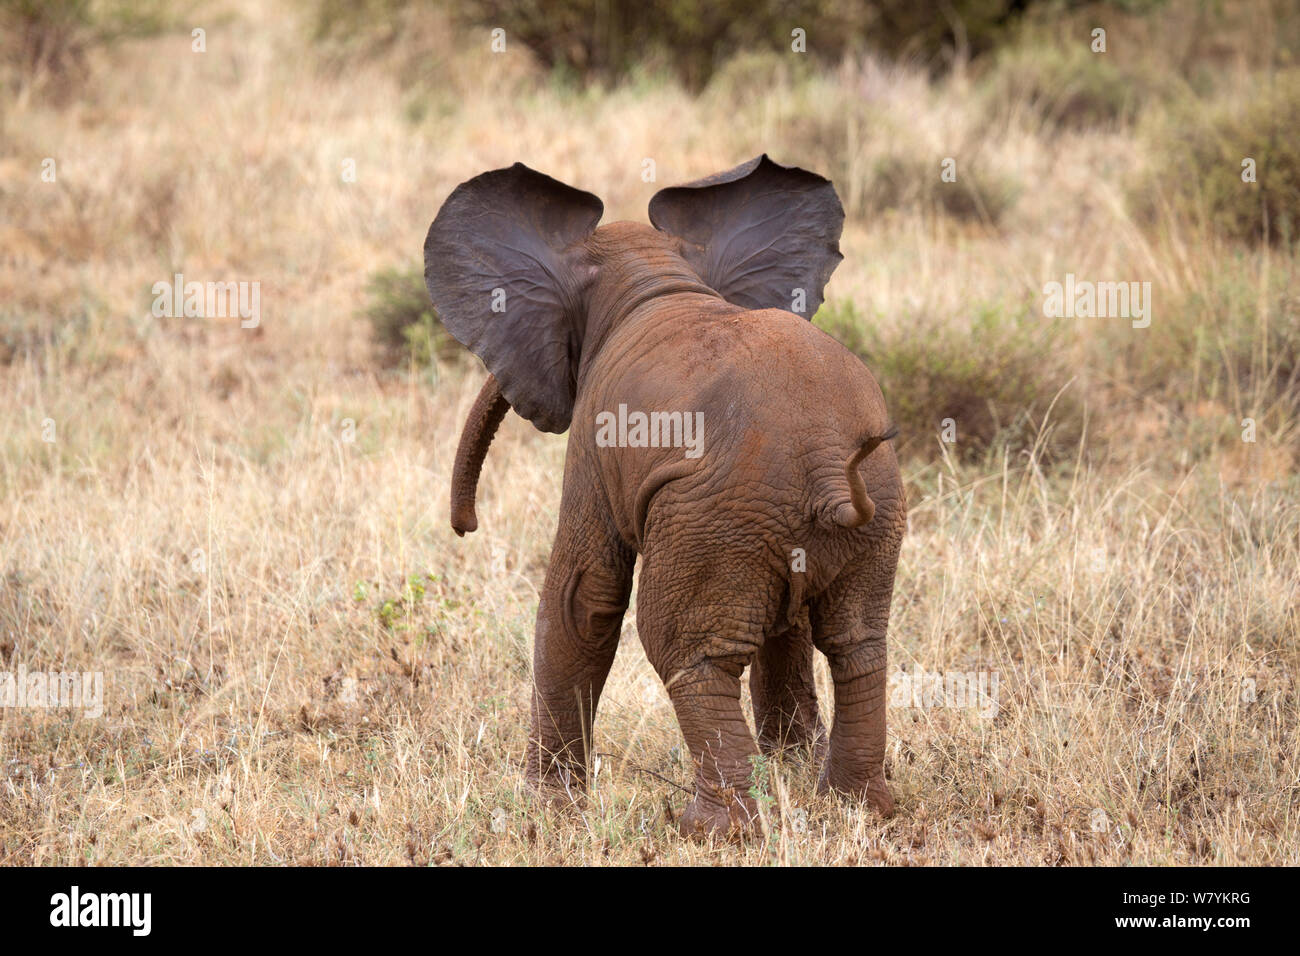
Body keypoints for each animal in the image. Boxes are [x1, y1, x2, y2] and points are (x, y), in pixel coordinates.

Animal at [424, 155, 904, 837]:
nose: (464, 524)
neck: (658, 277)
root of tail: (829, 469)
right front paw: (790, 766)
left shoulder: (596, 436)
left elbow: (584, 596)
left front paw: (546, 809)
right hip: (858, 511)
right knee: (856, 642)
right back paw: (856, 808)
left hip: (716, 516)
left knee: (687, 651)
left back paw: (712, 830)